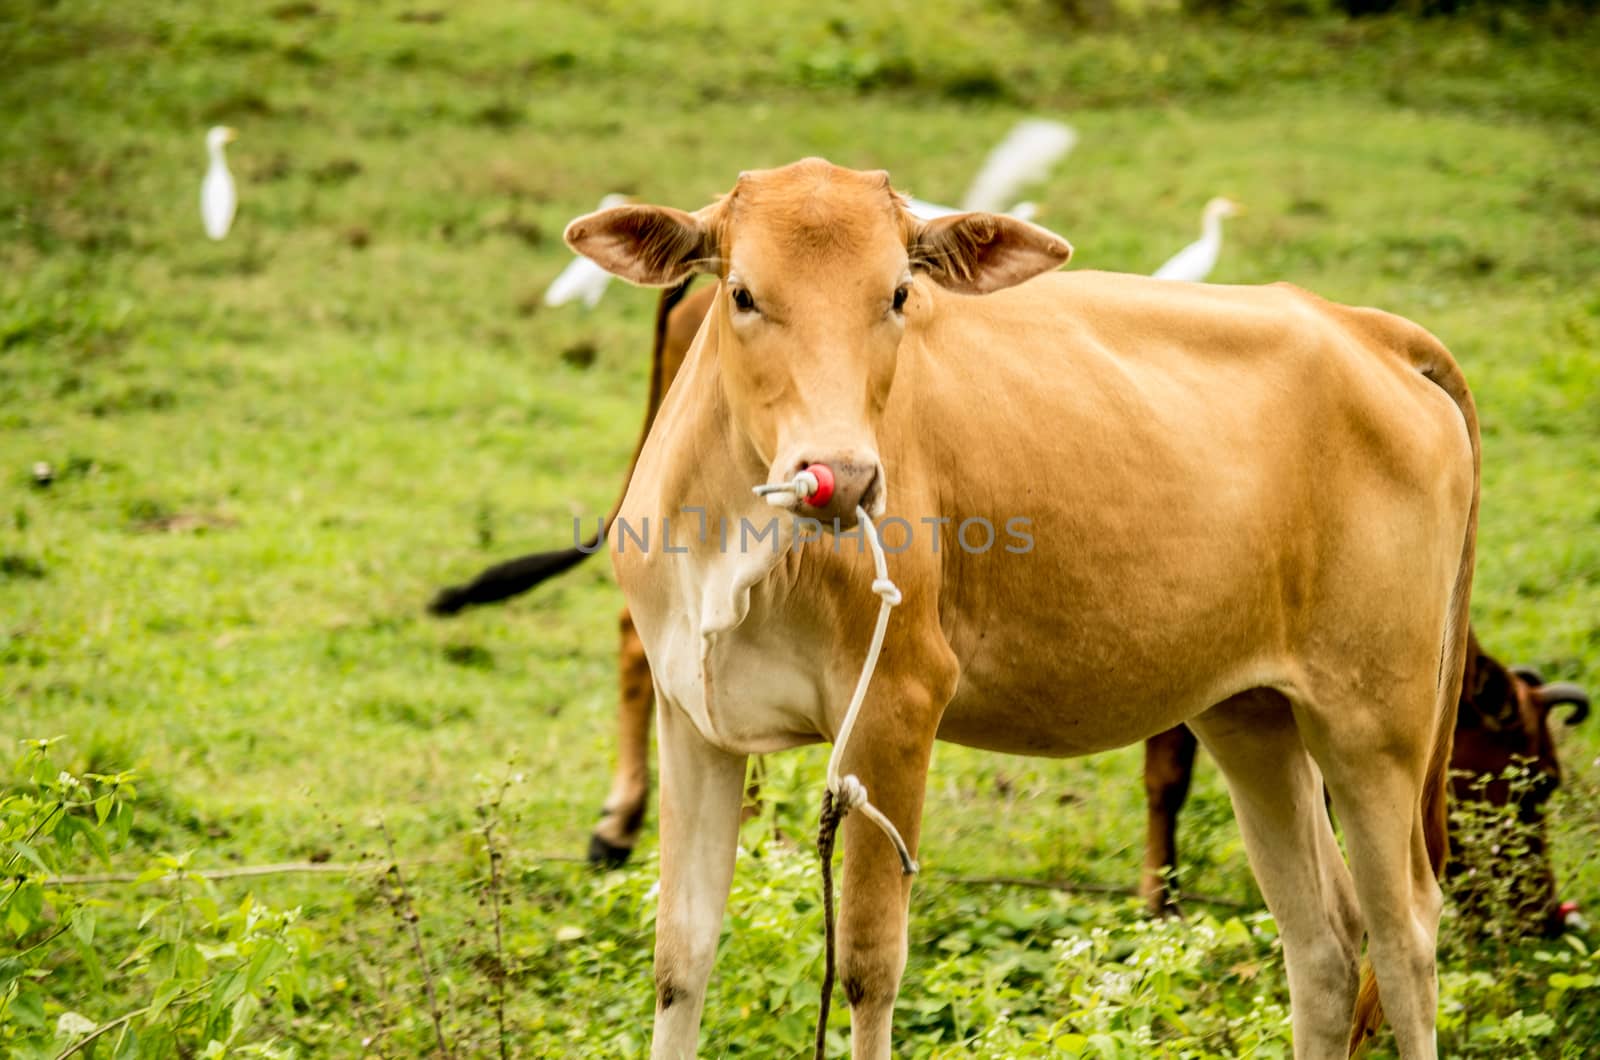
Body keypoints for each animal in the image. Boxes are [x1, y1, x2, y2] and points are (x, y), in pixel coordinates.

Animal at [569, 160, 1478, 1060]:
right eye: (743, 294)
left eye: (899, 294)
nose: (845, 476)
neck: (738, 549)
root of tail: (1363, 328)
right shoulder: (692, 717)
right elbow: (680, 959)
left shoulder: (897, 707)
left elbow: (868, 968)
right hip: (1251, 713)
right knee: (1325, 939)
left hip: (1373, 722)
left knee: (1406, 937)